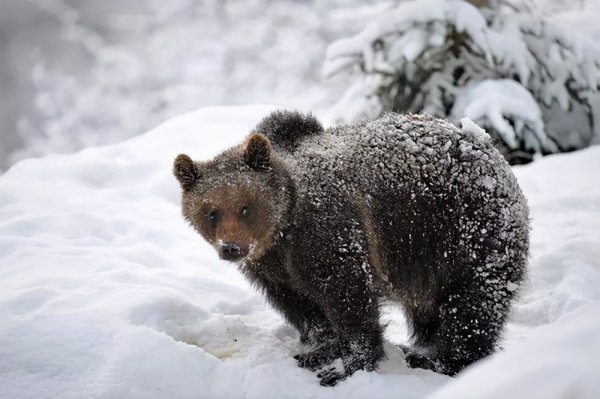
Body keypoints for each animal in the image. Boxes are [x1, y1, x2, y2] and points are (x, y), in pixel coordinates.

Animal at [173, 110, 528, 388]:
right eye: (211, 212)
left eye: (245, 207)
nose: (231, 248)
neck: (281, 233)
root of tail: (490, 148)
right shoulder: (273, 269)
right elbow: (302, 306)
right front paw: (321, 348)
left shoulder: (329, 231)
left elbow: (348, 297)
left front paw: (346, 364)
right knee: (431, 307)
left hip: (460, 227)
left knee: (472, 301)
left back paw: (441, 359)